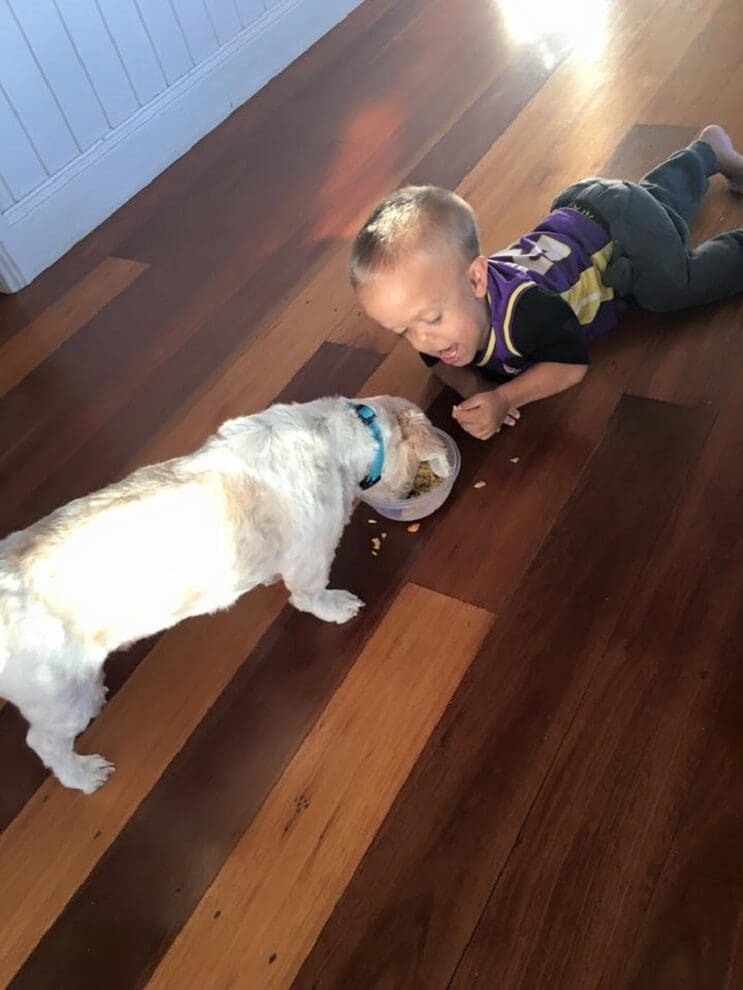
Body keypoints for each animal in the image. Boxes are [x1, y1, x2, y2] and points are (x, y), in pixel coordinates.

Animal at [0, 396, 448, 792]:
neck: (342, 432)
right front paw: (337, 607)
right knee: (44, 742)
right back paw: (83, 775)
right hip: (57, 694)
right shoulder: (312, 555)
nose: (409, 494)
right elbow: (310, 596)